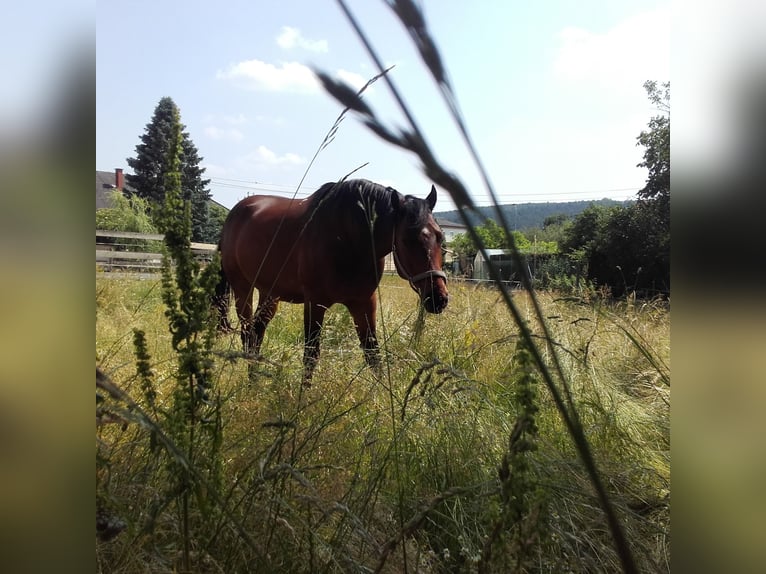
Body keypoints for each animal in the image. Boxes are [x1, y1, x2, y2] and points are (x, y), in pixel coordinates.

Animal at [213, 178, 450, 384]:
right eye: (406, 239)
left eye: (440, 237)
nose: (438, 298)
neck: (348, 239)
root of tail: (234, 214)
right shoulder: (314, 304)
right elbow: (310, 355)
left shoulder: (364, 303)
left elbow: (373, 353)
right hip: (243, 288)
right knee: (247, 334)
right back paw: (250, 382)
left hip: (270, 292)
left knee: (257, 332)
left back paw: (255, 380)